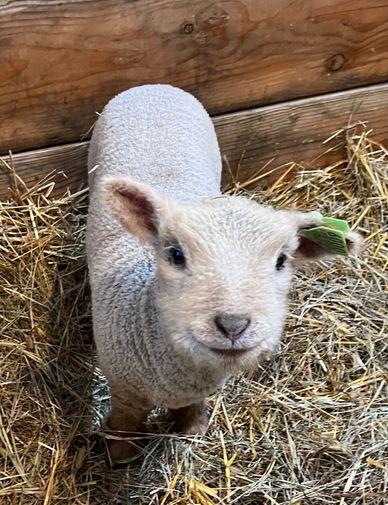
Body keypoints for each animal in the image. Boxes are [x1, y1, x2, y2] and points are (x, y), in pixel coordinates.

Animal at [86, 84, 362, 462]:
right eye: (175, 255)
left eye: (282, 261)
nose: (233, 325)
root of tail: (155, 86)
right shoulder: (124, 389)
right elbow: (125, 422)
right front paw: (120, 454)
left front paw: (192, 429)